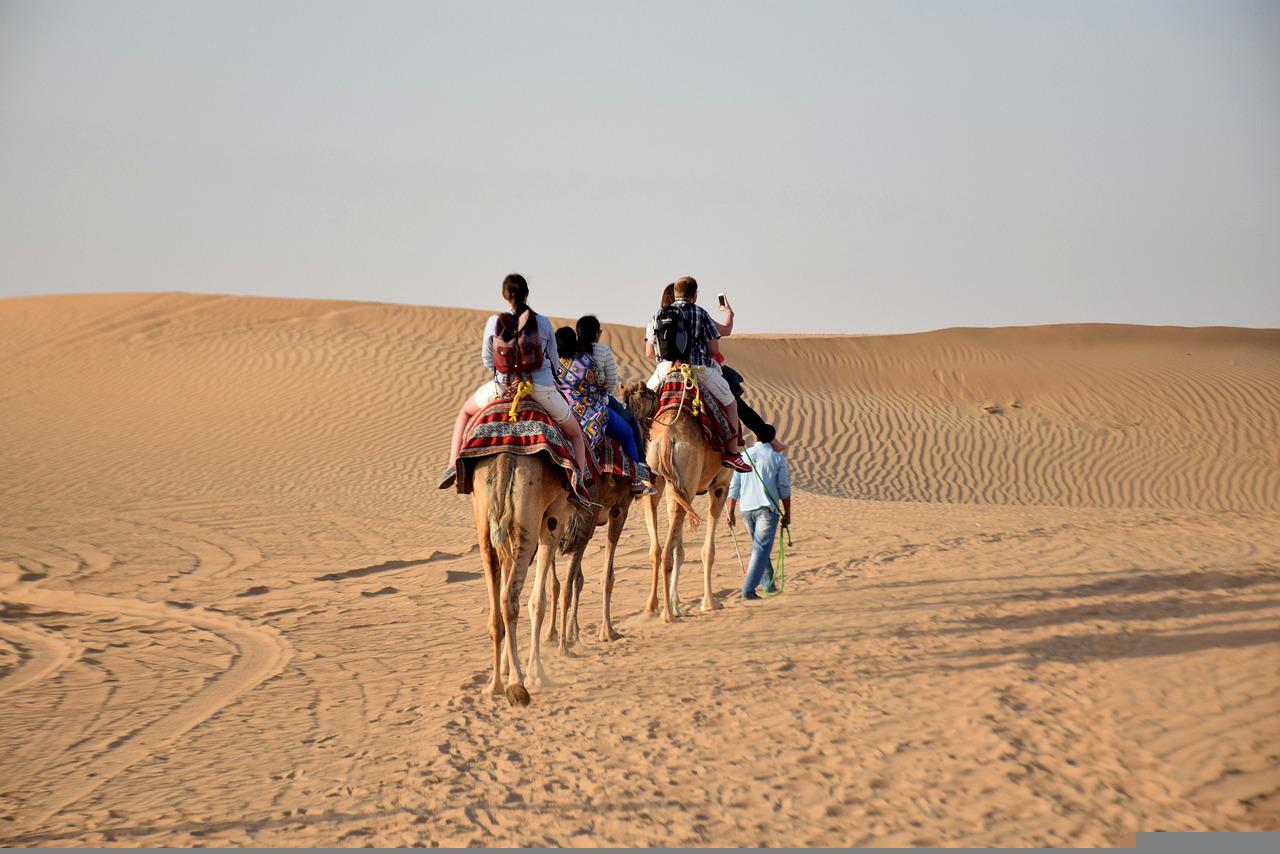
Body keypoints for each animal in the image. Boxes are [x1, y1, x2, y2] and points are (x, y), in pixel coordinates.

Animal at [468, 450, 573, 706]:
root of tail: (504, 462)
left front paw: (507, 666)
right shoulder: (553, 519)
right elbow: (538, 601)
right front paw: (537, 673)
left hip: (485, 523)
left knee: (496, 610)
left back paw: (494, 685)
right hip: (527, 522)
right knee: (510, 599)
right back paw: (517, 685)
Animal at [624, 381, 737, 622]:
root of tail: (668, 437)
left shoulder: (674, 488)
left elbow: (680, 549)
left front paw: (677, 603)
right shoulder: (720, 486)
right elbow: (707, 550)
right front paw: (710, 603)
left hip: (660, 482)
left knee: (657, 549)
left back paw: (653, 606)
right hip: (689, 483)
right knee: (668, 551)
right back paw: (667, 614)